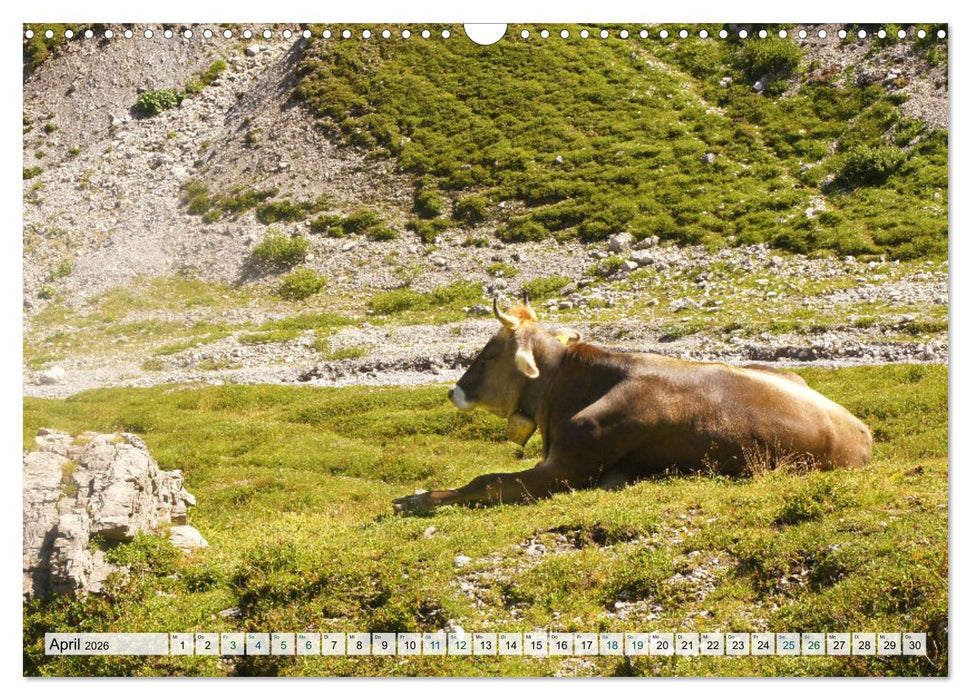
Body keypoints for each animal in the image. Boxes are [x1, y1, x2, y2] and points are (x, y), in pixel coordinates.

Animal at [392, 298, 873, 513]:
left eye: (489, 353)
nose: (453, 391)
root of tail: (862, 431)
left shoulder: (568, 468)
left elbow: (485, 481)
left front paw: (416, 498)